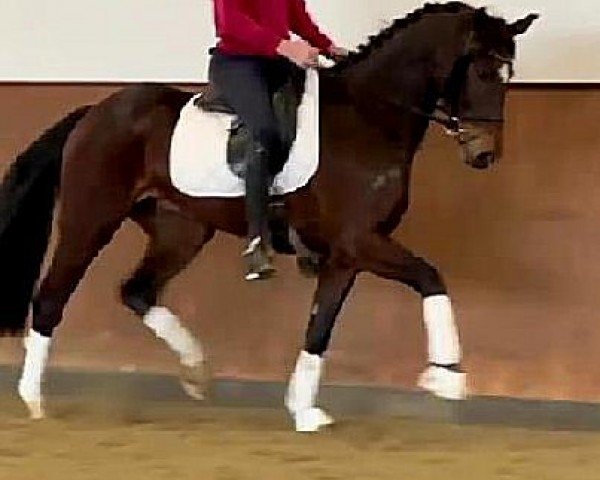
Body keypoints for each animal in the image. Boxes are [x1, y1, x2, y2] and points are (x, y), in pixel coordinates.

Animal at [0, 2, 536, 432]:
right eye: (483, 72)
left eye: (510, 75)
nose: (484, 154)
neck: (370, 116)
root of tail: (96, 109)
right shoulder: (362, 241)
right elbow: (430, 276)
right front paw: (447, 377)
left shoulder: (346, 255)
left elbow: (320, 328)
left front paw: (304, 408)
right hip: (91, 219)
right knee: (51, 298)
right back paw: (35, 400)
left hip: (181, 229)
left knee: (138, 290)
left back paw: (196, 371)